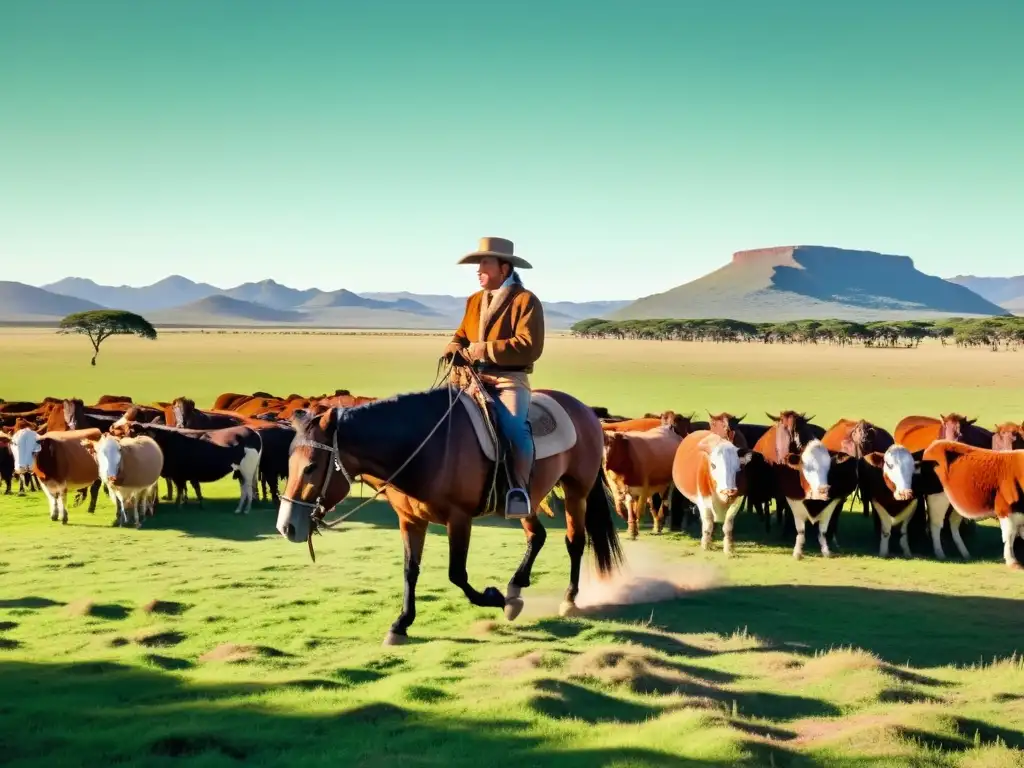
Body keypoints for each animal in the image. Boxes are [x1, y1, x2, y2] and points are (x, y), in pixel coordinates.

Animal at [276, 382, 618, 643]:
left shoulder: (459, 518)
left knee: (574, 541)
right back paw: (516, 588)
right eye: (289, 462)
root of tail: (584, 409)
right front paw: (401, 624)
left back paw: (568, 599)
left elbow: (457, 574)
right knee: (538, 535)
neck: (424, 447)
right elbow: (410, 570)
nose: (286, 527)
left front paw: (493, 597)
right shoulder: (411, 520)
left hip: (576, 491)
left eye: (311, 467)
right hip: (524, 499)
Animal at [921, 438, 1024, 573]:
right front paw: (1013, 562)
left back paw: (965, 553)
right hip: (936, 498)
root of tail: (935, 444)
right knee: (936, 525)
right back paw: (940, 553)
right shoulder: (1005, 508)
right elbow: (1009, 535)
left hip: (956, 504)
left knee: (953, 524)